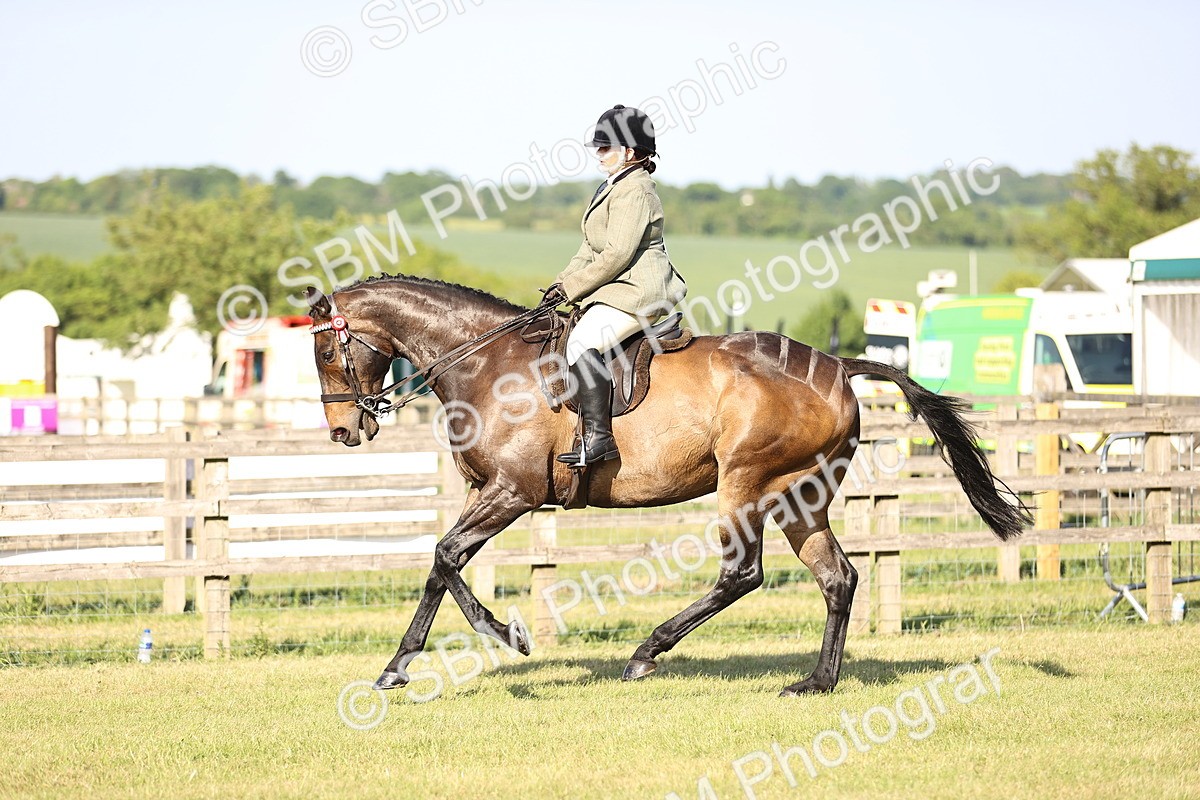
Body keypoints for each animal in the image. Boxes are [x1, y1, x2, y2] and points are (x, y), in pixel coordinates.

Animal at [304, 276, 1030, 696]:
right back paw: (816, 683)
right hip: (801, 494)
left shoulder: (511, 494)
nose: (343, 431)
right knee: (837, 578)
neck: (487, 362)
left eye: (325, 349)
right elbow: (440, 567)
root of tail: (835, 365)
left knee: (742, 574)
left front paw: (507, 634)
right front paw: (398, 667)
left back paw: (646, 654)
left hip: (745, 482)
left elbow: (445, 557)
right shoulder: (485, 493)